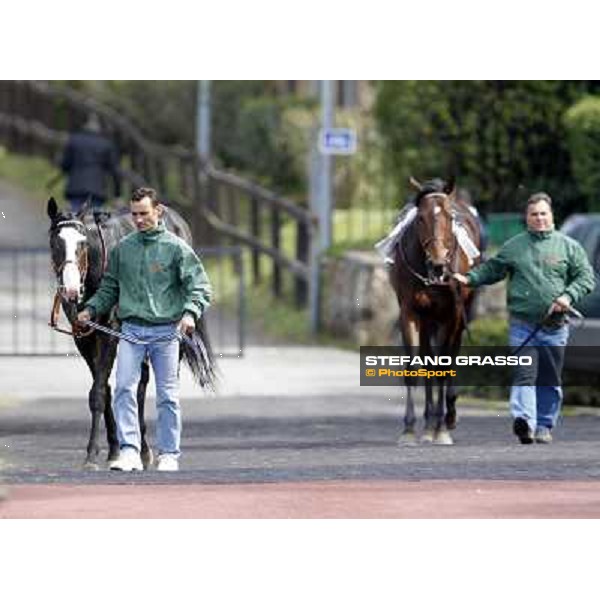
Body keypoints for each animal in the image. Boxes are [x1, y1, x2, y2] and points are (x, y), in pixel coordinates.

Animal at [390, 178, 482, 446]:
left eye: (450, 218)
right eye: (420, 218)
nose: (439, 264)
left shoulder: (451, 314)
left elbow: (443, 365)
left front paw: (441, 430)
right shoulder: (410, 312)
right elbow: (415, 367)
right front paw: (409, 430)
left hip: (460, 314)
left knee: (451, 354)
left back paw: (446, 417)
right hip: (428, 319)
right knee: (428, 359)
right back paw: (430, 422)